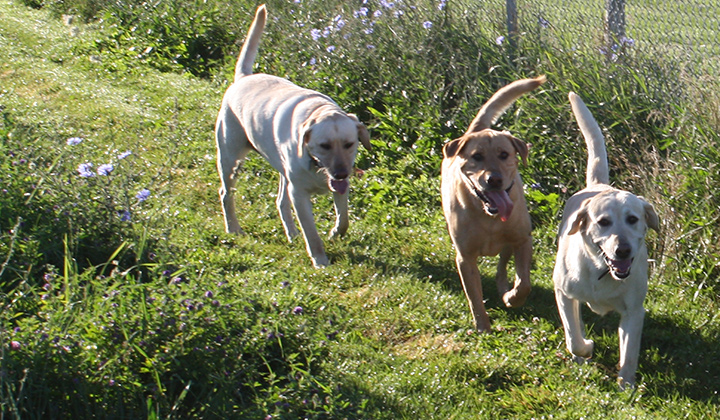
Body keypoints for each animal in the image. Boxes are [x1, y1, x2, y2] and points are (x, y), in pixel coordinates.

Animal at [215, 4, 372, 268]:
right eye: (324, 145)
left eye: (350, 144)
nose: (341, 173)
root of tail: (243, 77)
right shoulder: (299, 195)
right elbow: (312, 233)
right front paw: (320, 260)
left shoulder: (339, 187)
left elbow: (344, 220)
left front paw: (335, 233)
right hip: (230, 158)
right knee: (226, 193)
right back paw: (233, 228)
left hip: (281, 169)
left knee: (280, 201)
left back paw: (291, 233)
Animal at [438, 75, 544, 332]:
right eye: (477, 157)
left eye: (504, 154)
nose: (493, 179)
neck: (488, 217)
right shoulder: (465, 257)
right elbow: (474, 296)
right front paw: (483, 326)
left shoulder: (522, 240)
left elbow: (524, 282)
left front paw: (512, 298)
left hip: (509, 242)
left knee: (502, 267)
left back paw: (504, 288)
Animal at [556, 91, 660, 388]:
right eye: (603, 222)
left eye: (633, 219)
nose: (622, 250)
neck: (602, 271)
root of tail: (598, 185)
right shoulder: (563, 293)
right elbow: (573, 336)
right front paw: (585, 349)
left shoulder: (633, 312)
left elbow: (630, 353)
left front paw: (626, 386)